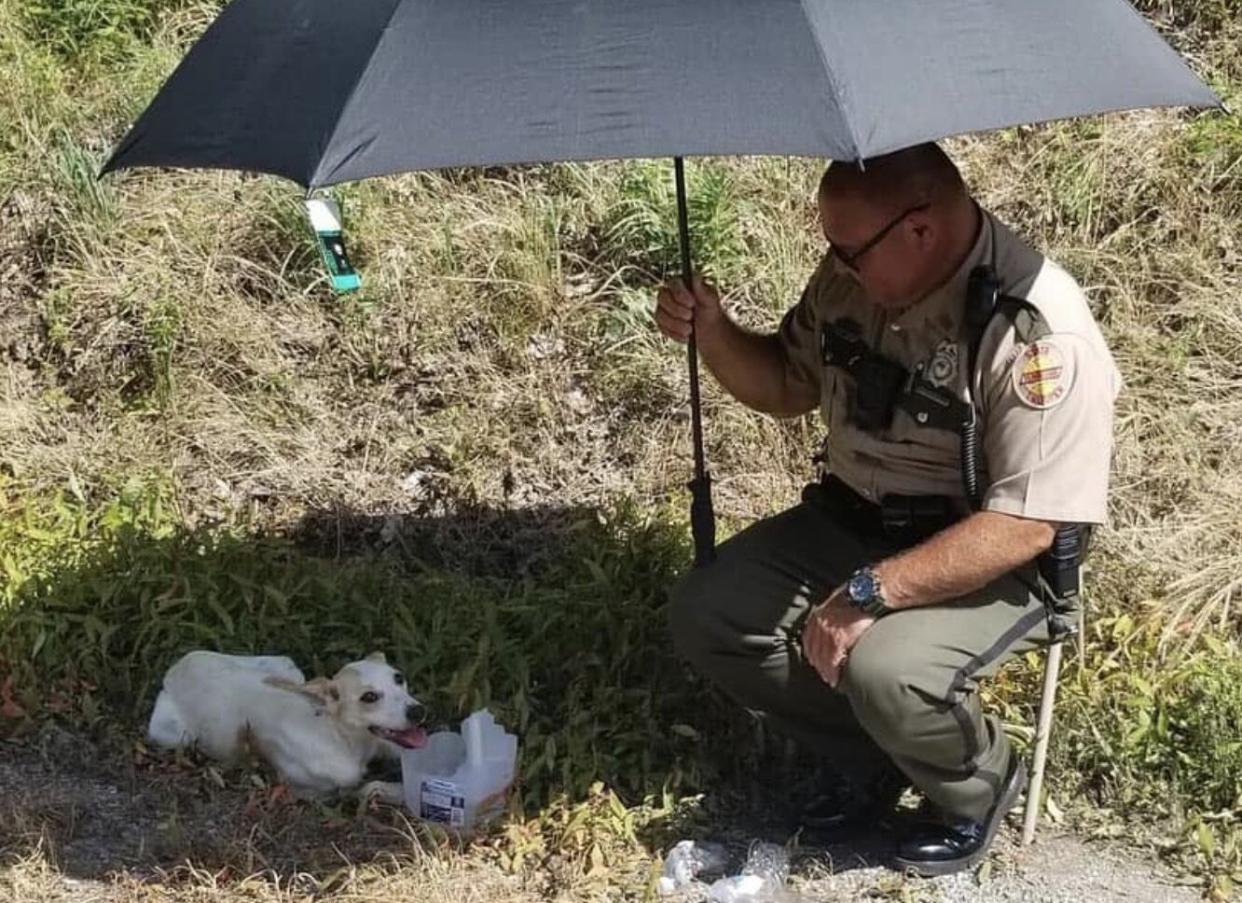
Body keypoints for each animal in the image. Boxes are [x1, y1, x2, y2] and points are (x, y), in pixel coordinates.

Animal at [144, 650, 424, 799]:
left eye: (399, 678)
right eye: (369, 697)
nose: (418, 711)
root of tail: (176, 668)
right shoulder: (315, 792)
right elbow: (369, 788)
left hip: (285, 666)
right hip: (172, 736)